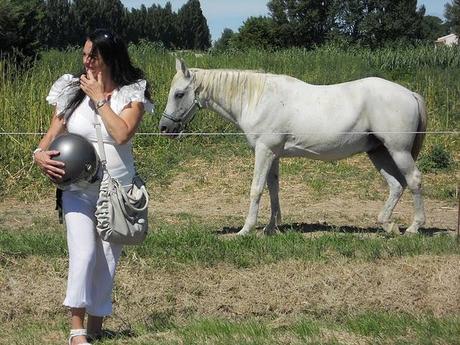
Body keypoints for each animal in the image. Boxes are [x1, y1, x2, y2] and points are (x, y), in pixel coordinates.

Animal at [161, 59, 428, 235]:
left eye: (179, 94)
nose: (164, 127)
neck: (258, 99)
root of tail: (410, 94)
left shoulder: (264, 151)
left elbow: (256, 189)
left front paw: (246, 230)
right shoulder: (273, 154)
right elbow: (273, 189)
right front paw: (271, 227)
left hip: (398, 151)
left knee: (413, 180)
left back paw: (414, 227)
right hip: (378, 152)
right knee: (396, 185)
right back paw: (388, 224)